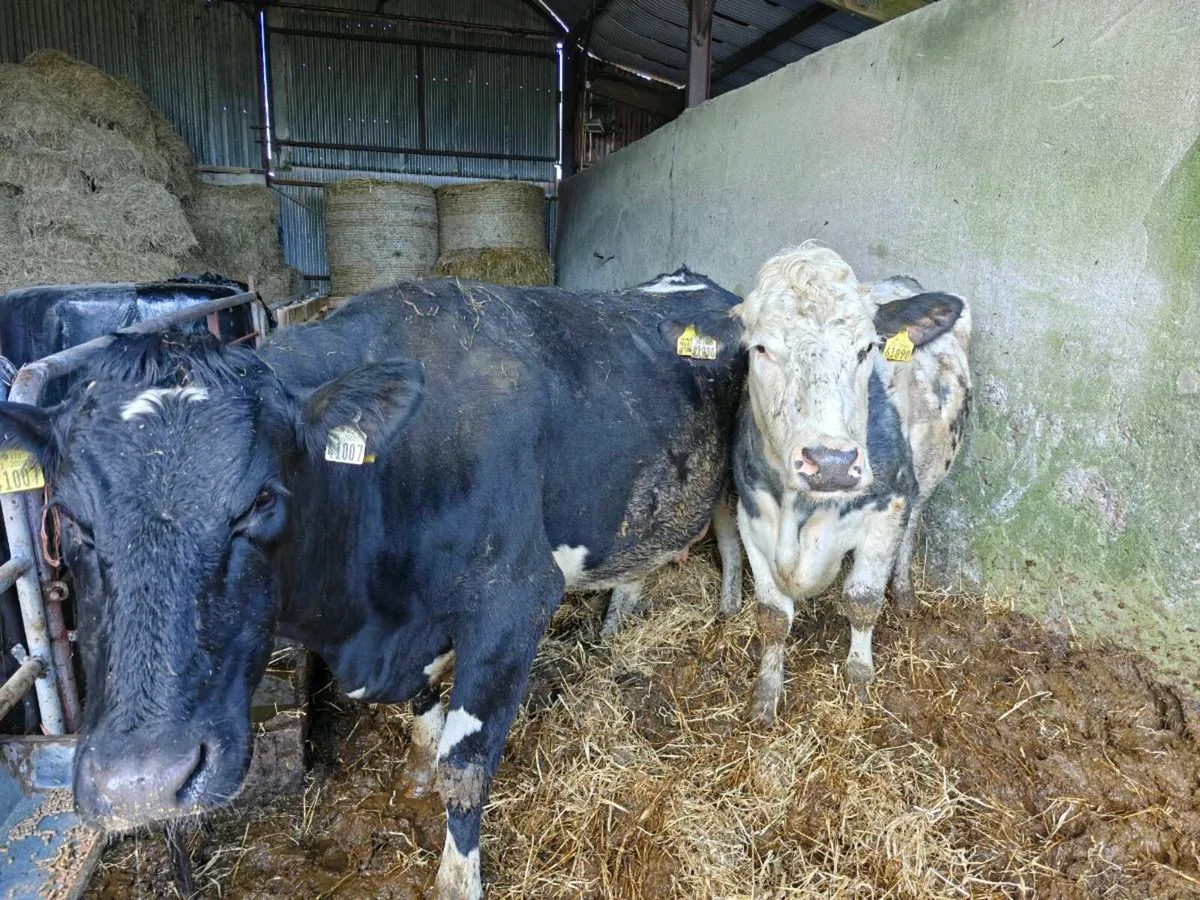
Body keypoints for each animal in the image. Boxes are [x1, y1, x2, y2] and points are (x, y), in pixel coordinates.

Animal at [0, 270, 745, 898]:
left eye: (260, 501)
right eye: (67, 515)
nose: (142, 783)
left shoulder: (515, 601)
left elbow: (465, 766)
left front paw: (457, 881)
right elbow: (423, 711)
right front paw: (416, 770)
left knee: (733, 536)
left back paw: (732, 607)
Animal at [729, 243, 971, 726]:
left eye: (867, 349)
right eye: (760, 347)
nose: (831, 463)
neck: (800, 510)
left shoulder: (888, 507)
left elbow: (861, 600)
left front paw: (860, 680)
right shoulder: (750, 513)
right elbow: (772, 616)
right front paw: (766, 695)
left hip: (925, 477)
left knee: (912, 526)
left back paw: (904, 594)